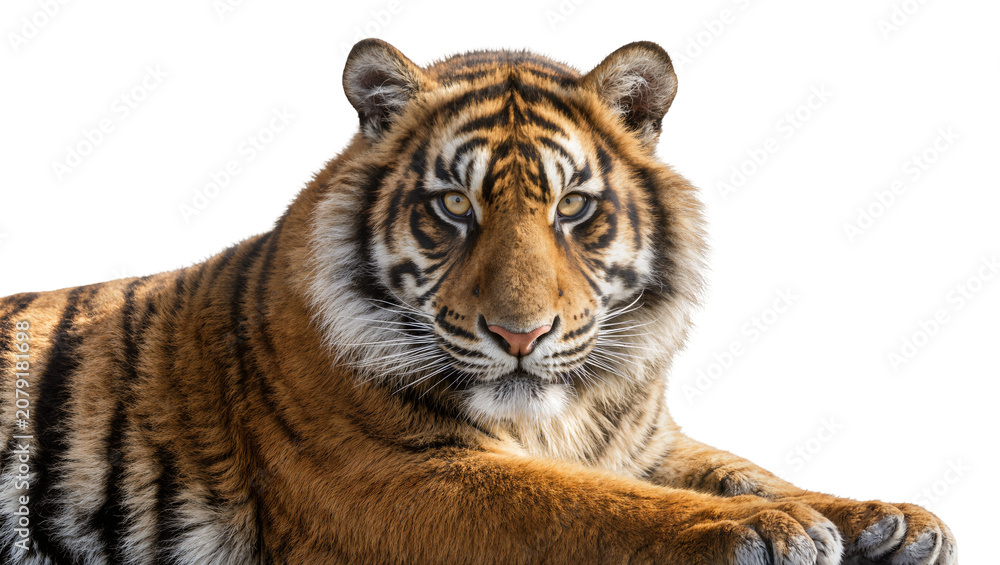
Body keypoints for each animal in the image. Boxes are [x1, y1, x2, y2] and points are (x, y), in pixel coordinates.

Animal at [0, 38, 956, 564]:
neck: (564, 417)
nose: (520, 334)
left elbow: (744, 465)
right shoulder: (387, 476)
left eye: (573, 207)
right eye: (454, 206)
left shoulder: (649, 440)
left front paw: (890, 519)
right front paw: (775, 527)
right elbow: (581, 504)